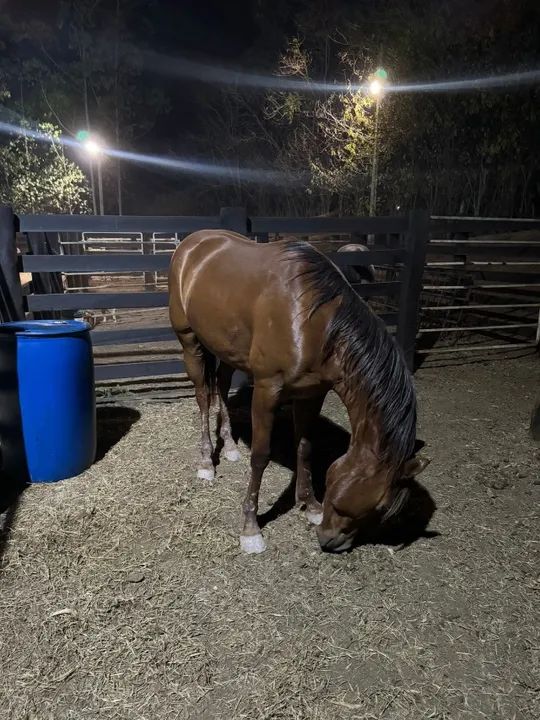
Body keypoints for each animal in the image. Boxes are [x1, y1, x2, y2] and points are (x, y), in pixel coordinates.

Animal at [169, 230, 430, 554]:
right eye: (380, 505)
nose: (333, 542)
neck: (314, 324)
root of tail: (191, 244)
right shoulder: (267, 390)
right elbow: (260, 455)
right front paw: (251, 527)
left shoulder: (312, 393)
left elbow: (305, 447)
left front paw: (309, 504)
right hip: (189, 341)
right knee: (204, 397)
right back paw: (206, 461)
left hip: (226, 349)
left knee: (222, 384)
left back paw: (229, 446)